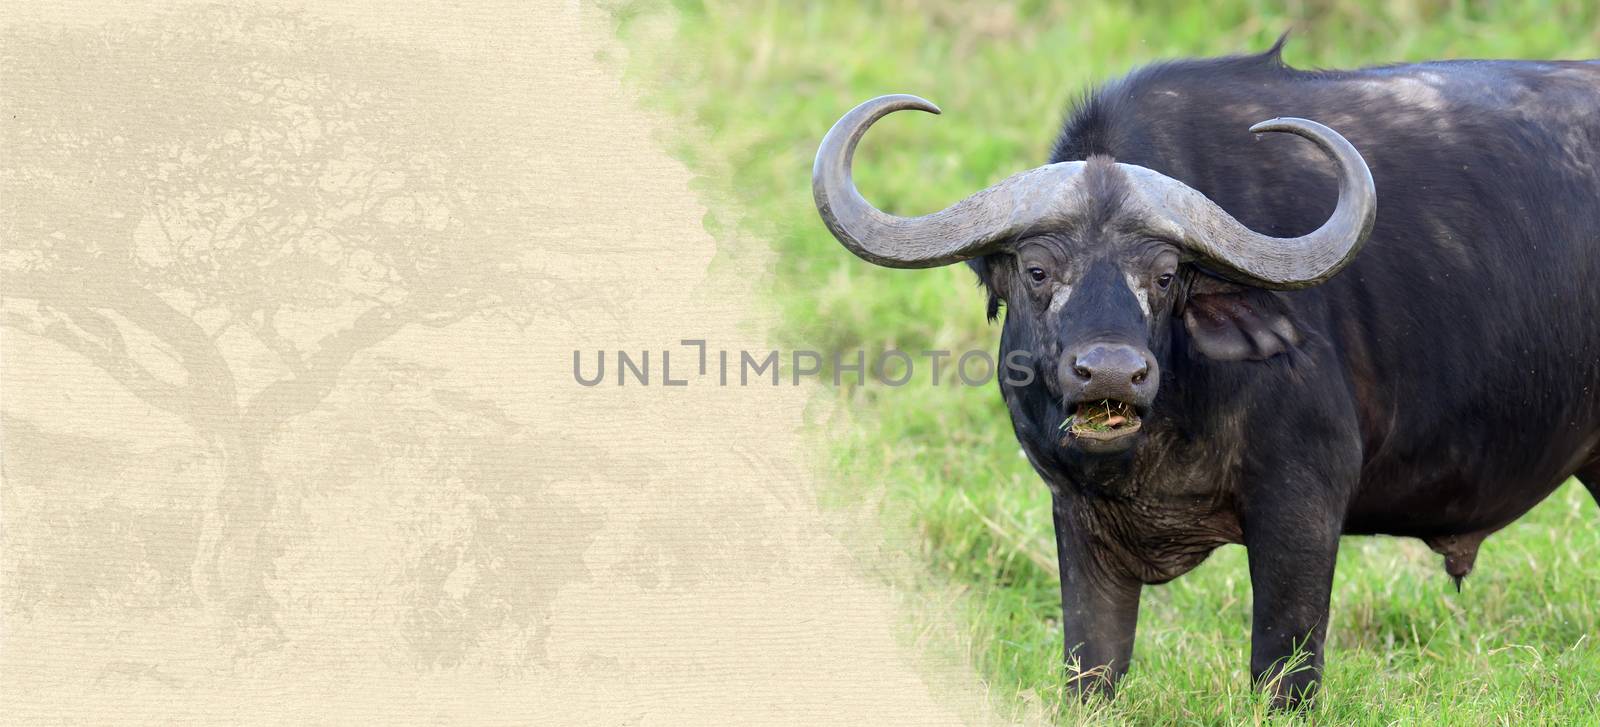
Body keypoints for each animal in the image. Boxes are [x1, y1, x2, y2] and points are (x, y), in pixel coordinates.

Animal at [812, 38, 1600, 704]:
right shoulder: (1075, 516)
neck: (1161, 439)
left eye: (1164, 276)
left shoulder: (1303, 505)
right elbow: (1091, 668)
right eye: (1037, 270)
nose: (1111, 374)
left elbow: (1283, 670)